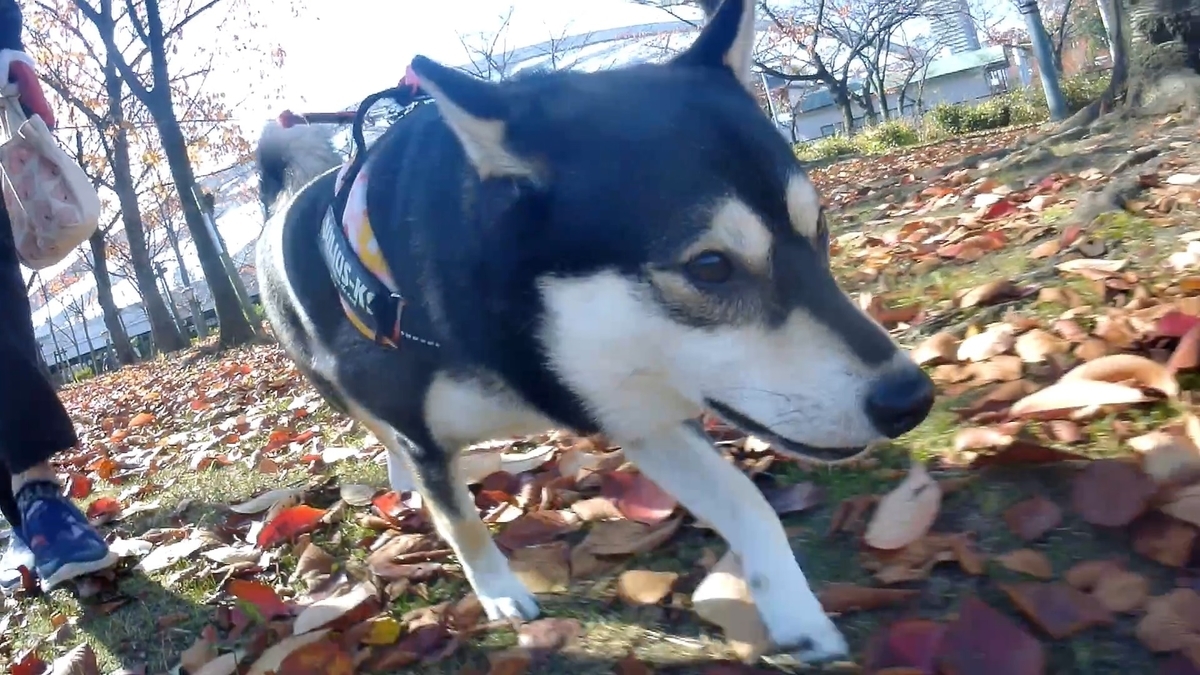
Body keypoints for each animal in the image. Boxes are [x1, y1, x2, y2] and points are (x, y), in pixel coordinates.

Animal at [258, 0, 936, 662]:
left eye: (817, 229)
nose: (911, 400)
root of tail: (279, 201)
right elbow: (461, 521)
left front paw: (796, 611)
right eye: (709, 267)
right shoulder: (429, 434)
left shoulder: (635, 402)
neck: (522, 334)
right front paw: (499, 592)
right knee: (380, 431)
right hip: (335, 384)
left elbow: (747, 501)